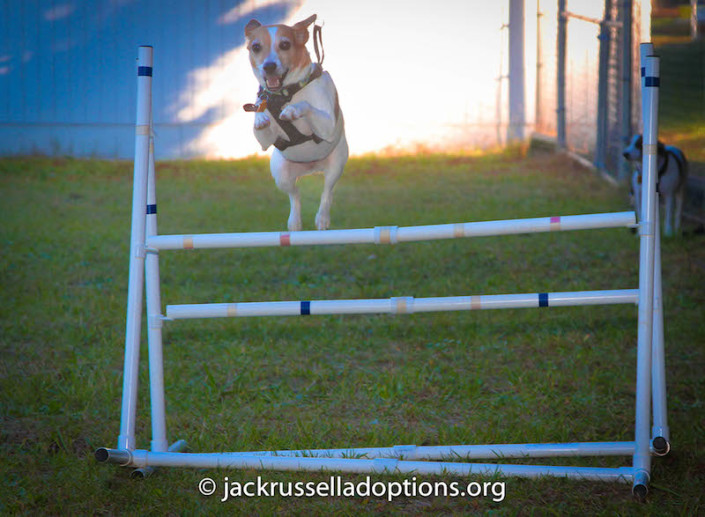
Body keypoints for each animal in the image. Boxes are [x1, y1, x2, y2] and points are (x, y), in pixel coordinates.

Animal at [245, 14, 350, 230]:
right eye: (256, 47)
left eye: (285, 44)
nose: (269, 66)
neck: (287, 93)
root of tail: (311, 168)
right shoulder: (265, 141)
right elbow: (260, 115)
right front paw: (260, 116)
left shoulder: (327, 125)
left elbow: (305, 105)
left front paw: (293, 110)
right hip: (281, 175)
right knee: (295, 195)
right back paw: (294, 221)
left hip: (336, 165)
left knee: (327, 192)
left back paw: (322, 218)